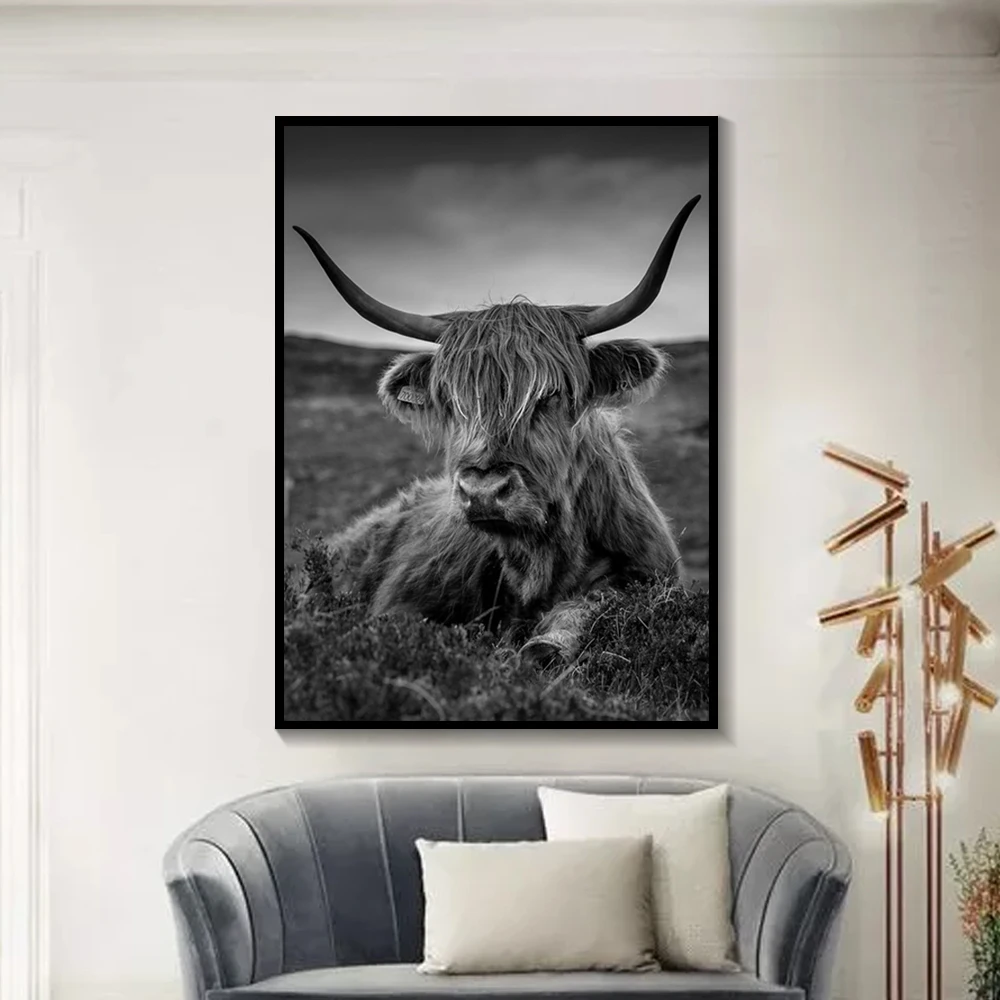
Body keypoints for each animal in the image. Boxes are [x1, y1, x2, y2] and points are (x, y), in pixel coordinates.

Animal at [292, 194, 701, 666]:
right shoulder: (401, 607)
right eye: (452, 400)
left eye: (551, 394)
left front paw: (545, 644)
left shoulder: (645, 577)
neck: (538, 563)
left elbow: (584, 612)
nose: (483, 490)